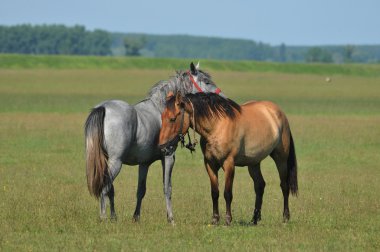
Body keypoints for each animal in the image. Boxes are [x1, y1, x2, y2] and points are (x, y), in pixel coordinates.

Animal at [84, 62, 226, 223]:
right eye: (206, 81)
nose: (222, 98)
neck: (161, 108)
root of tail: (104, 107)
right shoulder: (169, 156)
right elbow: (167, 188)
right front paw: (171, 218)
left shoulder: (144, 163)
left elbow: (141, 190)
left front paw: (136, 217)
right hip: (116, 162)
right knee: (105, 187)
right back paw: (103, 217)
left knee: (110, 188)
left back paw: (113, 217)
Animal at [159, 91, 298, 225]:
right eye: (162, 117)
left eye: (172, 119)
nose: (162, 148)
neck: (216, 126)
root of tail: (278, 112)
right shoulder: (210, 164)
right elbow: (215, 193)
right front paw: (215, 219)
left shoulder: (229, 164)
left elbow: (227, 193)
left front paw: (228, 219)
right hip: (253, 163)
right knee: (259, 186)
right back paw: (254, 219)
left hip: (281, 159)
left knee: (284, 185)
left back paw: (285, 217)